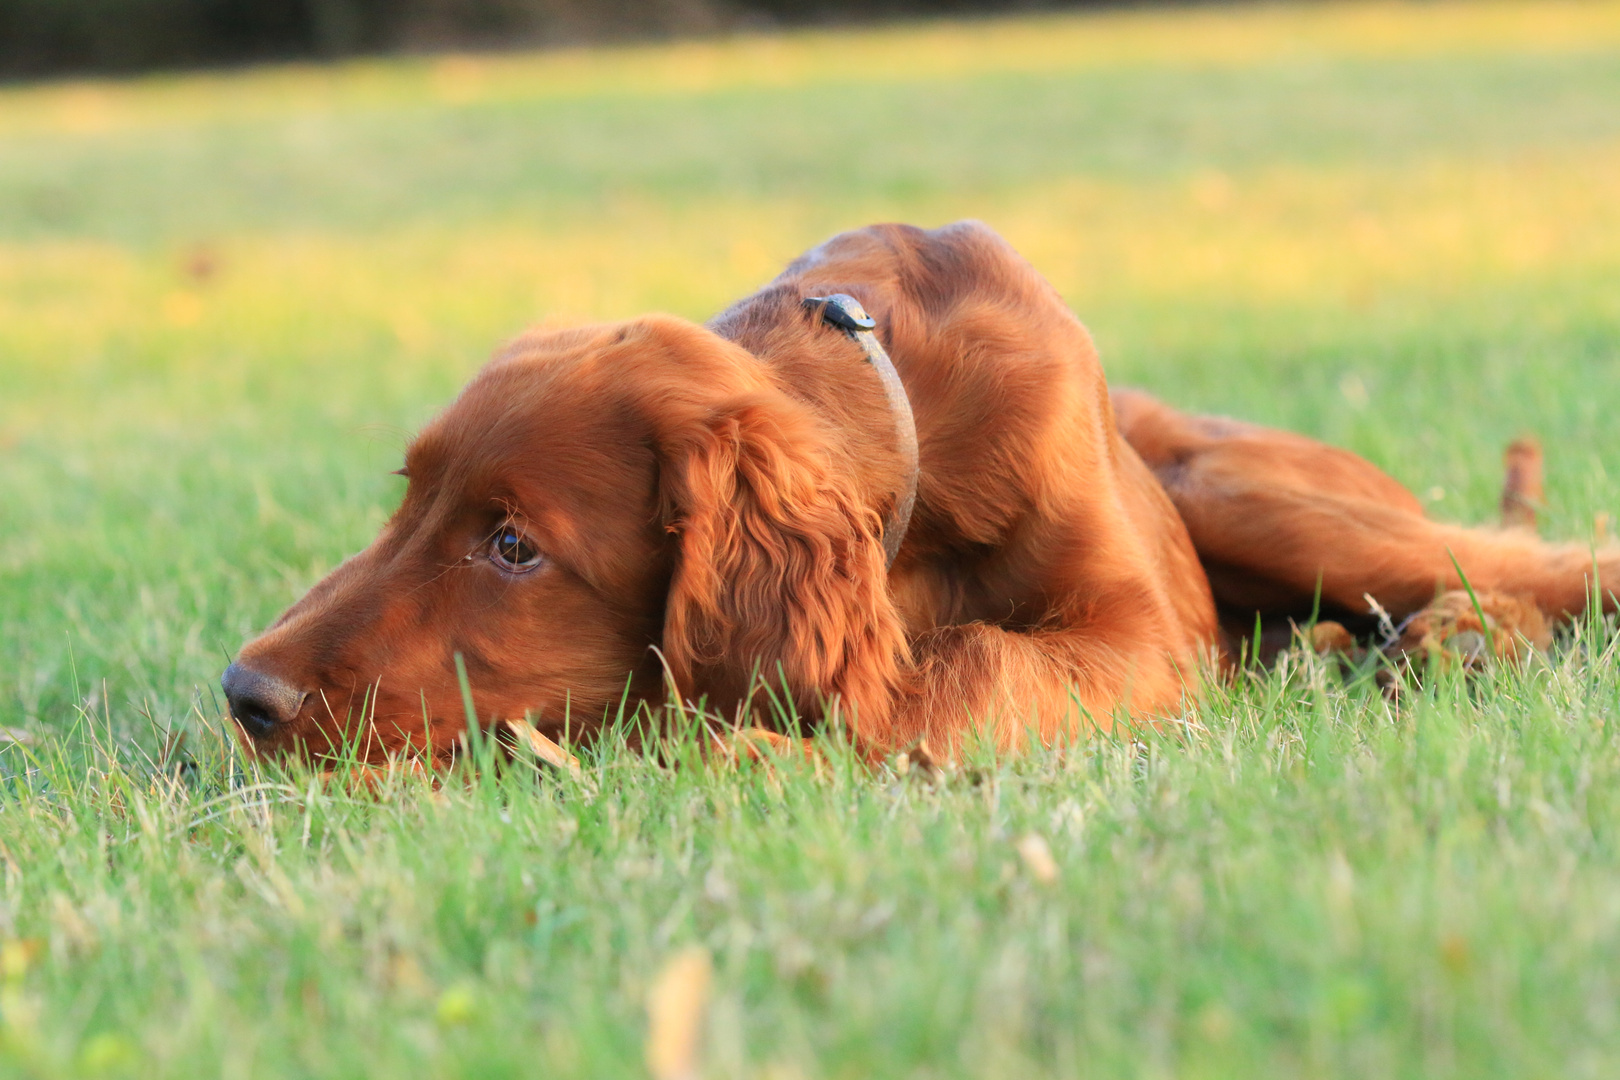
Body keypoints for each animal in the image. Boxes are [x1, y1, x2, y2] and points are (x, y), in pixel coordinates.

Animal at [218, 220, 1620, 764]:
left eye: (513, 546)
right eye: (406, 504)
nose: (244, 696)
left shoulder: (1143, 636)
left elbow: (975, 664)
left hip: (1251, 495)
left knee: (1531, 566)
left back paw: (1460, 636)